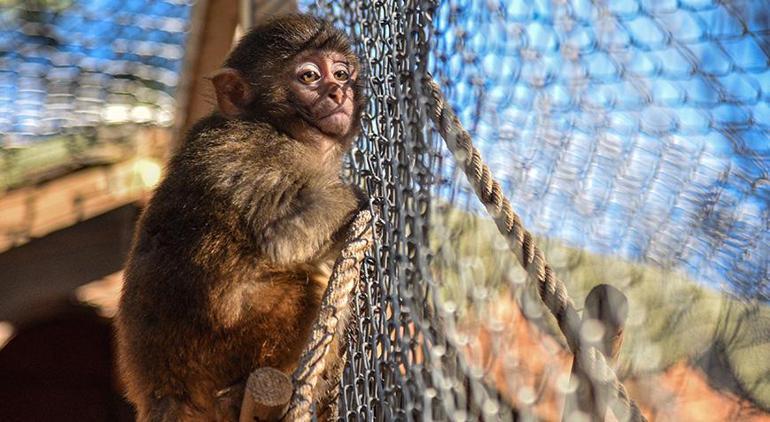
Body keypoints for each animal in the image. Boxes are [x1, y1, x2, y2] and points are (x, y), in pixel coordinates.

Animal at [115, 14, 366, 422]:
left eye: (341, 74)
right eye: (310, 77)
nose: (336, 93)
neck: (278, 126)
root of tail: (162, 391)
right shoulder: (262, 153)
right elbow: (284, 237)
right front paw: (357, 197)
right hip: (218, 346)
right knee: (305, 283)